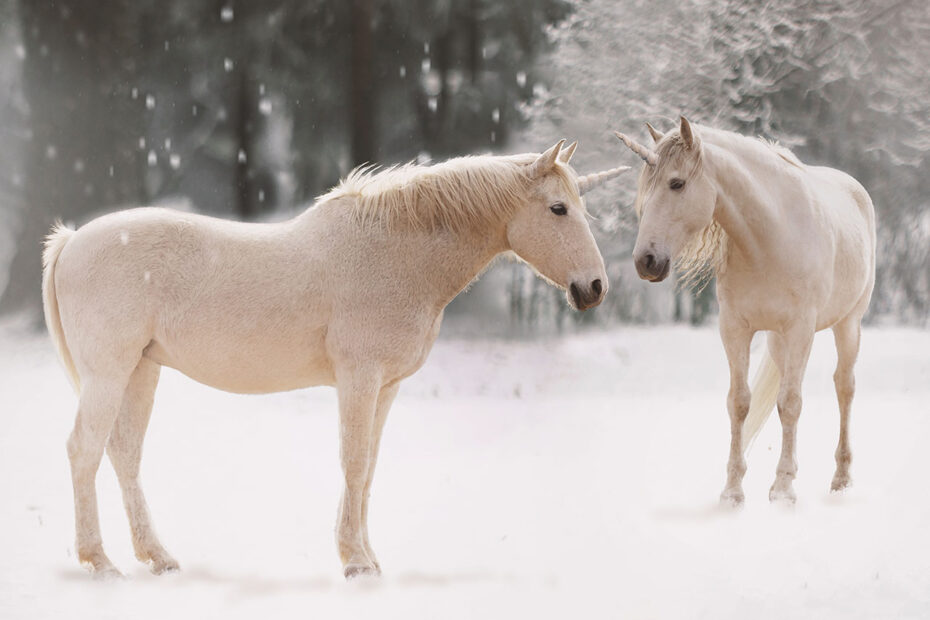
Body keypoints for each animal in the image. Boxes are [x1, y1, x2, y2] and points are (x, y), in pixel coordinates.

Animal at [41, 139, 624, 576]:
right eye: (558, 209)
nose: (594, 287)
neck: (394, 251)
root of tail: (71, 242)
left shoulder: (386, 387)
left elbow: (368, 469)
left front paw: (370, 558)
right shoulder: (359, 379)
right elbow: (353, 461)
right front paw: (355, 563)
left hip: (140, 371)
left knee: (124, 454)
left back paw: (157, 558)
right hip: (108, 373)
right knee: (83, 450)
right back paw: (100, 562)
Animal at [616, 118, 872, 506]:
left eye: (677, 183)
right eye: (645, 187)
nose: (645, 261)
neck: (770, 237)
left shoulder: (801, 330)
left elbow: (791, 403)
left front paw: (783, 489)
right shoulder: (735, 329)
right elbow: (740, 403)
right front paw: (733, 490)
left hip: (848, 325)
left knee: (844, 387)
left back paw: (841, 478)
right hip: (779, 341)